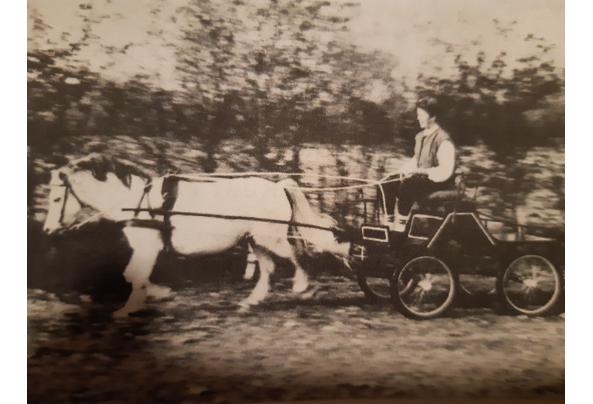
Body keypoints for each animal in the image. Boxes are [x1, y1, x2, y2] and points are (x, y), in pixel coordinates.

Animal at [44, 154, 350, 316]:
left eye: (57, 198)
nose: (47, 230)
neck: (136, 200)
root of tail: (278, 186)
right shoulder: (147, 249)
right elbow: (136, 276)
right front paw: (158, 293)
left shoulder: (147, 247)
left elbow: (135, 275)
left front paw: (128, 308)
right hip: (256, 239)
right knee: (268, 268)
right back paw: (251, 301)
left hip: (270, 237)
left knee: (296, 255)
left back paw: (302, 287)